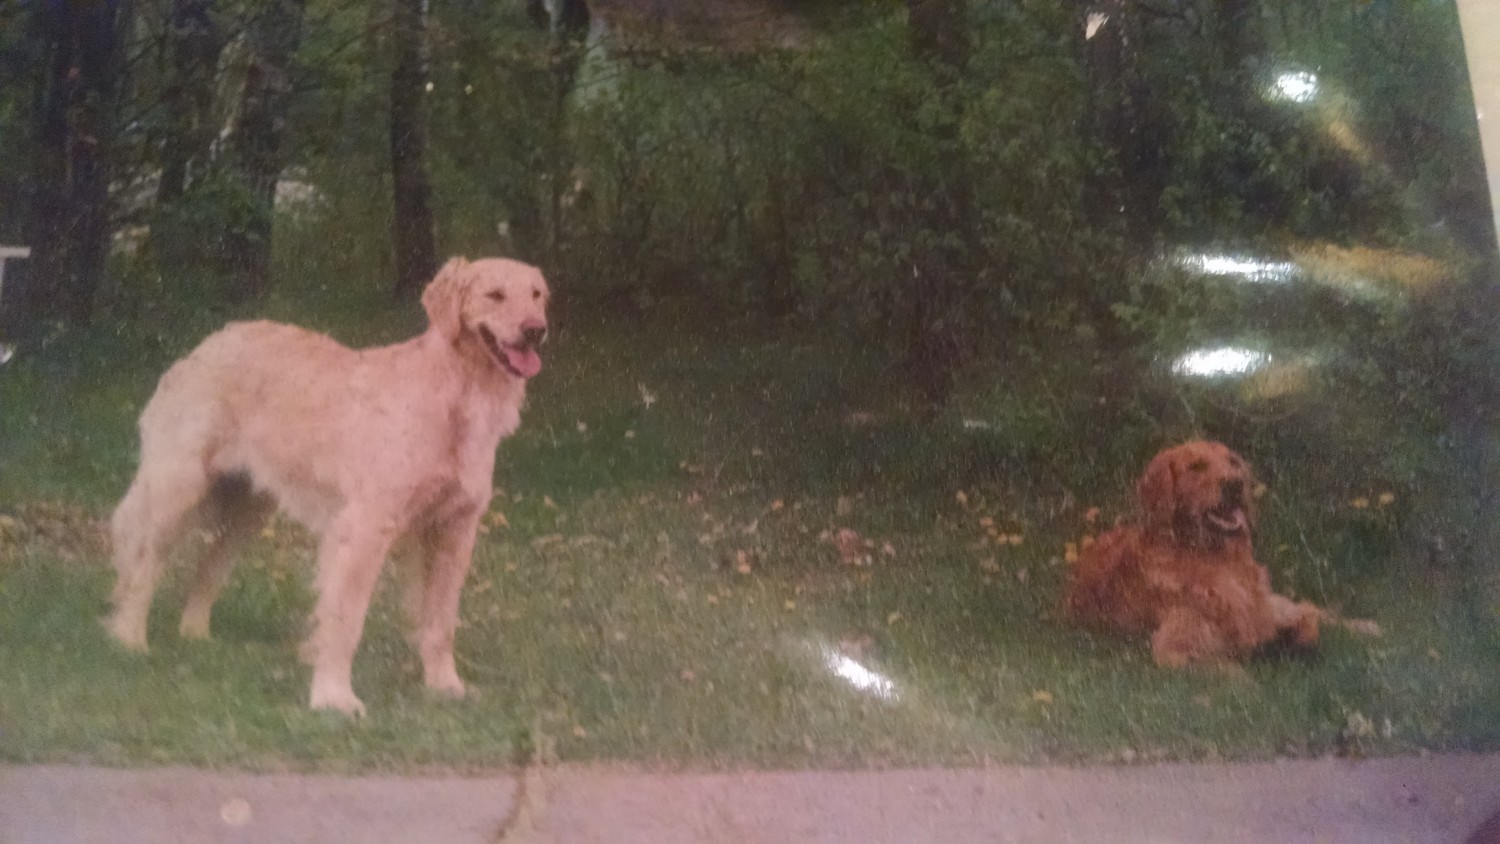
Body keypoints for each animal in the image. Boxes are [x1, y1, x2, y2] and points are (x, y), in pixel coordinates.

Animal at [107, 256, 552, 713]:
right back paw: (129, 640)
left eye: (537, 295)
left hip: (248, 512)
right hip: (178, 489)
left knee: (207, 571)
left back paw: (197, 639)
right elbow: (345, 619)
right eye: (494, 294)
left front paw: (445, 686)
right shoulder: (365, 527)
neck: (457, 393)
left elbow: (441, 622)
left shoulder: (455, 531)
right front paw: (333, 698)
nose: (536, 330)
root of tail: (205, 346)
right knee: (143, 564)